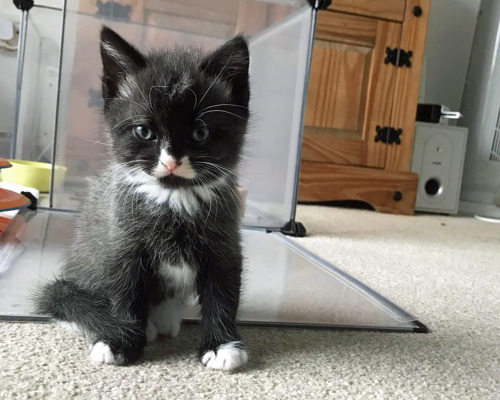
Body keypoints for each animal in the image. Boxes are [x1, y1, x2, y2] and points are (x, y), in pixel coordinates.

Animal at [35, 25, 250, 372]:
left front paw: (222, 345)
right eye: (144, 132)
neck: (174, 199)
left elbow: (223, 293)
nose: (172, 160)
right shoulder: (122, 244)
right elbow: (125, 293)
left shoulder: (224, 242)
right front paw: (120, 340)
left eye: (200, 133)